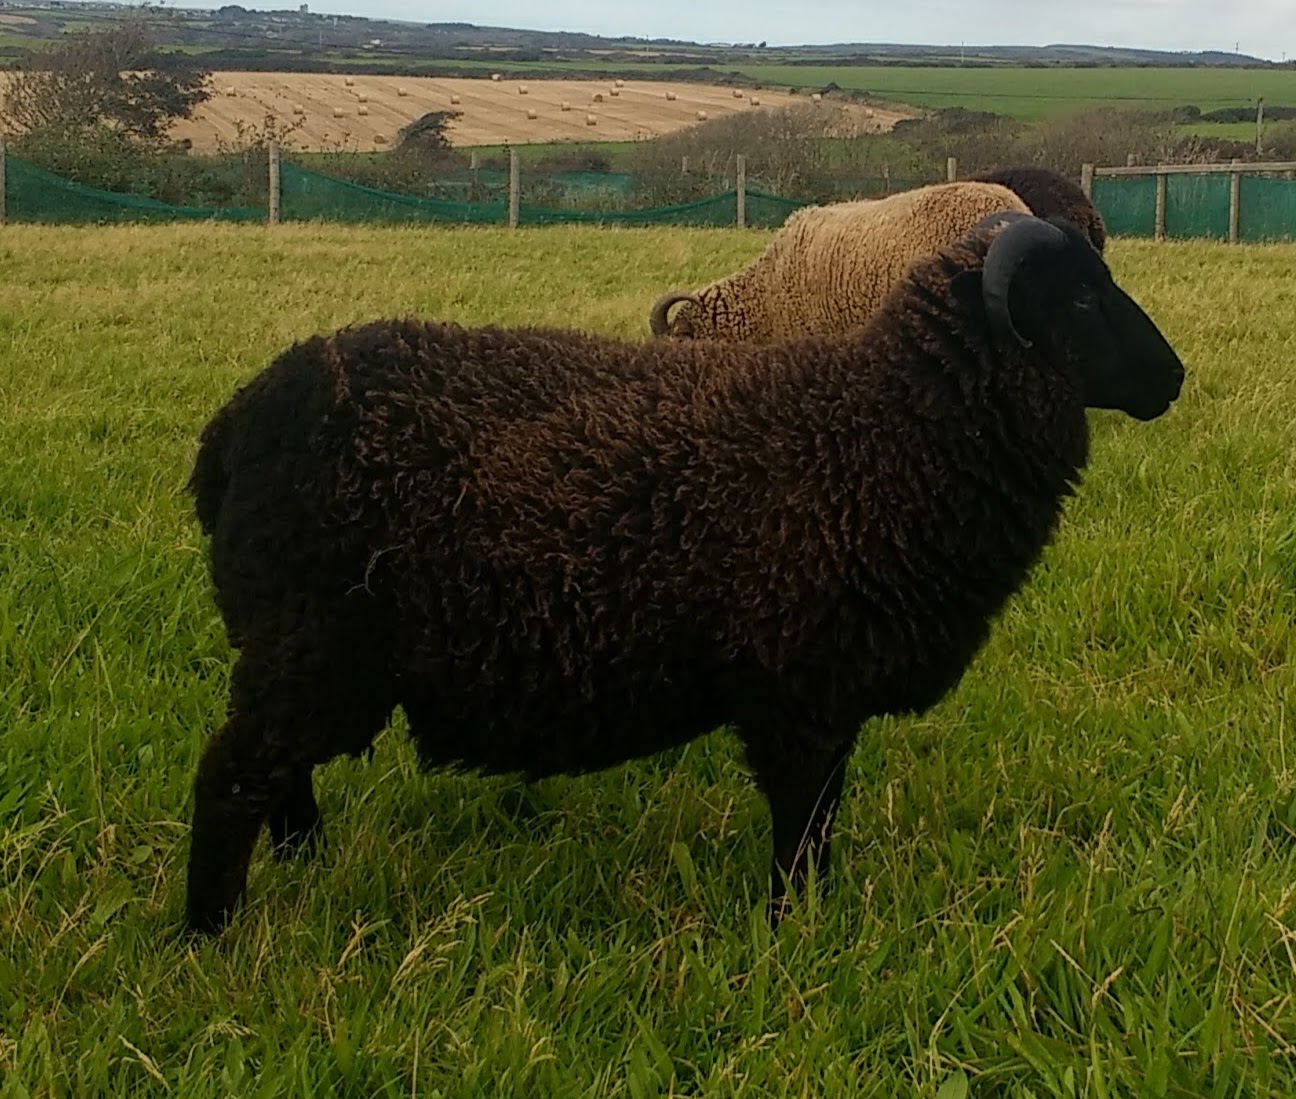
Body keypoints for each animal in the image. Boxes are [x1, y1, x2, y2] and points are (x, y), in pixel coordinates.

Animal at [183, 213, 1185, 934]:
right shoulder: (801, 693)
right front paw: (795, 936)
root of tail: (234, 427)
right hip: (311, 646)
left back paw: (309, 869)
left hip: (304, 657)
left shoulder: (829, 691)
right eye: (1082, 301)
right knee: (231, 777)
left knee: (280, 775)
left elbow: (821, 820)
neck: (882, 431)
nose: (1172, 378)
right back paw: (211, 935)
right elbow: (802, 827)